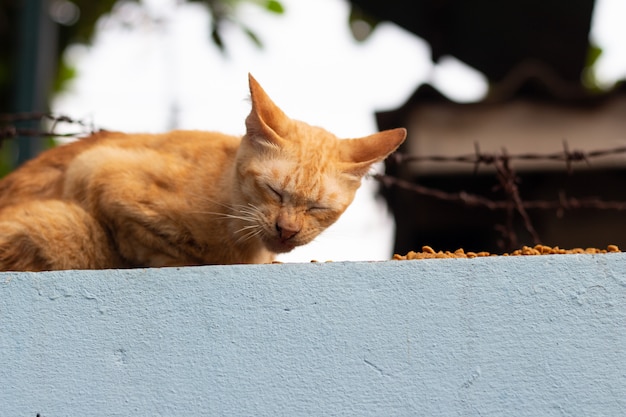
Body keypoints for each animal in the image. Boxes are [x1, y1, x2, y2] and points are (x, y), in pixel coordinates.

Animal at [0, 74, 404, 270]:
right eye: (274, 191)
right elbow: (157, 248)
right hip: (65, 221)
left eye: (318, 209)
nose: (287, 231)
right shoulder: (97, 172)